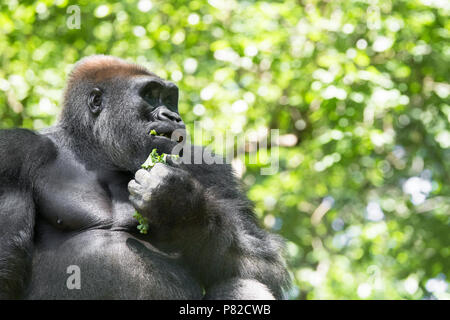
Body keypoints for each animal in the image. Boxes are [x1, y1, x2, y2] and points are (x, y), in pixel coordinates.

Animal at [0, 55, 288, 300]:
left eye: (170, 99)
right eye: (149, 95)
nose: (173, 116)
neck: (94, 150)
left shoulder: (211, 168)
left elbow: (263, 263)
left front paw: (179, 207)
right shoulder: (13, 155)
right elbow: (7, 268)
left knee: (244, 283)